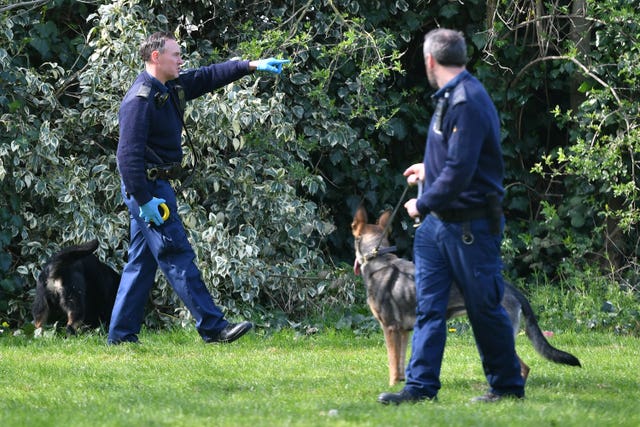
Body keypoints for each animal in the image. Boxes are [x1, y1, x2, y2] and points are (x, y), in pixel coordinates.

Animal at [352, 207, 584, 388]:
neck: (376, 258)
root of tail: (512, 289)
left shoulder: (390, 328)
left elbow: (392, 362)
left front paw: (391, 387)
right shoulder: (403, 331)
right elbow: (400, 363)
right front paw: (401, 383)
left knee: (522, 367)